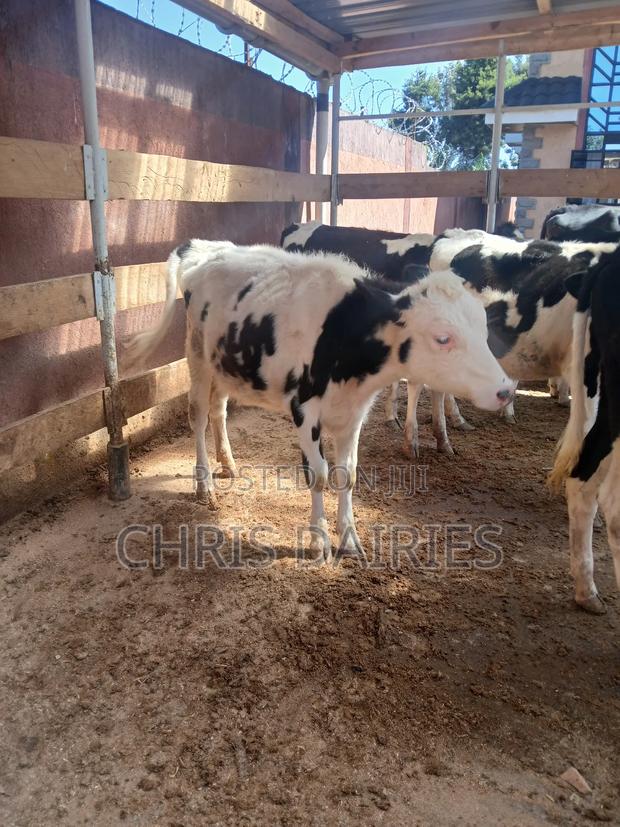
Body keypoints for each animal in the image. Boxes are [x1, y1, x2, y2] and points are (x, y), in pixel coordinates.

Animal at [126, 240, 515, 557]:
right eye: (442, 338)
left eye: (483, 328)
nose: (506, 389)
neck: (343, 334)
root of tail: (205, 247)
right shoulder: (304, 409)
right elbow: (319, 475)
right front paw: (319, 540)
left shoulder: (354, 412)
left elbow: (348, 474)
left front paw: (351, 539)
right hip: (197, 354)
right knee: (199, 414)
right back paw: (204, 484)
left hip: (226, 363)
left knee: (219, 411)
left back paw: (229, 464)